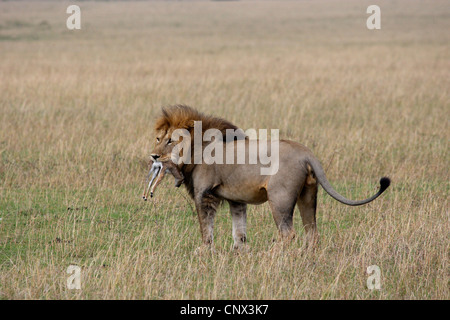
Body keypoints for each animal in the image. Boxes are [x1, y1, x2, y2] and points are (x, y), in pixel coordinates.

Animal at [149, 105, 388, 250]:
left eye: (170, 141)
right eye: (159, 139)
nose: (154, 156)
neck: (197, 148)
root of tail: (306, 153)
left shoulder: (204, 194)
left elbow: (205, 226)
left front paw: (205, 250)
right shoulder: (236, 199)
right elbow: (239, 229)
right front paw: (239, 251)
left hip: (280, 198)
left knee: (288, 233)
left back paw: (273, 254)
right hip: (308, 195)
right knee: (312, 232)